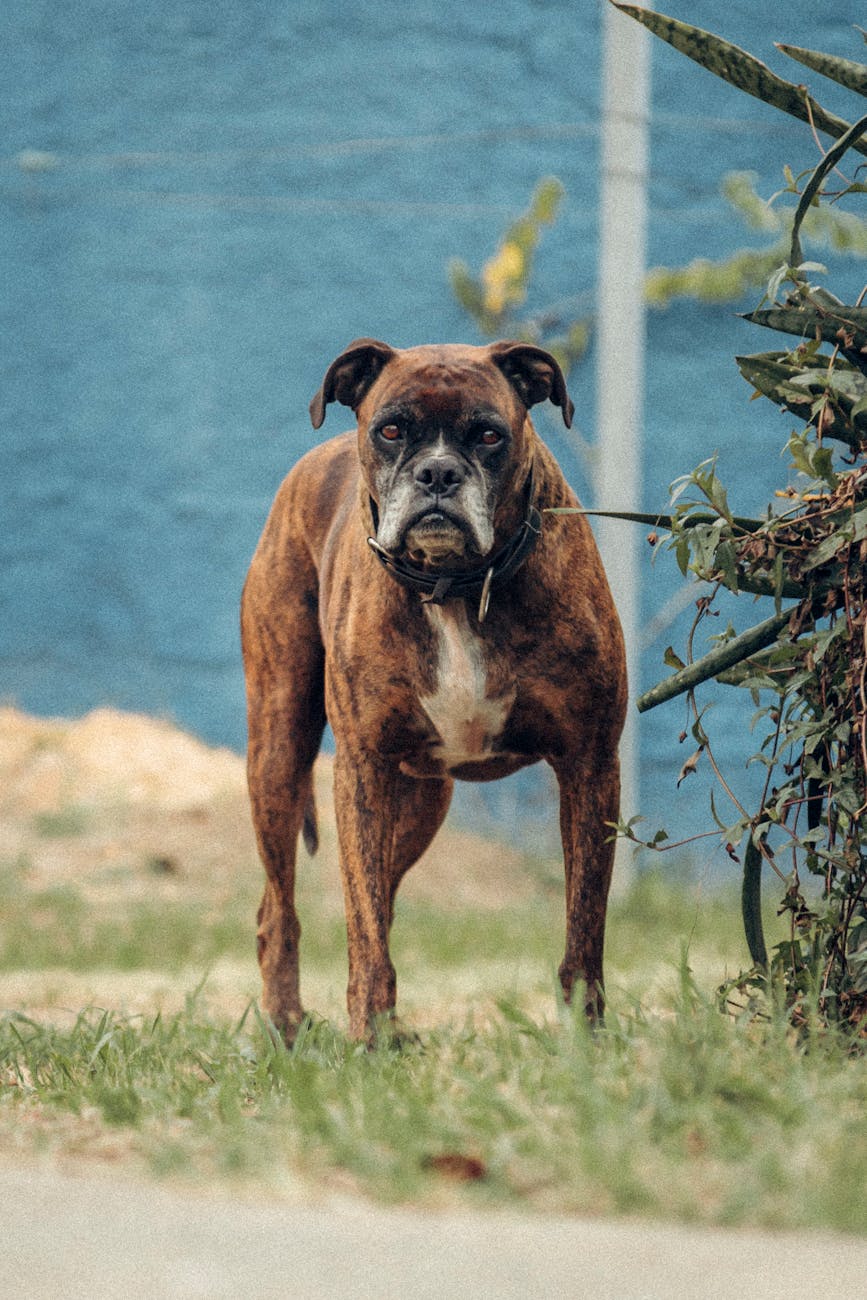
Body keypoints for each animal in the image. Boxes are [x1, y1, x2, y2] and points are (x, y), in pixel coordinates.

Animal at [240, 340, 626, 1040]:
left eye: (490, 435)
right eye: (391, 430)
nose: (439, 474)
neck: (456, 586)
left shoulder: (590, 766)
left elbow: (585, 925)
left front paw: (585, 1038)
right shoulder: (361, 769)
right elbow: (363, 926)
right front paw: (368, 1036)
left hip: (419, 800)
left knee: (381, 898)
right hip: (280, 755)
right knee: (279, 911)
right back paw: (288, 1022)